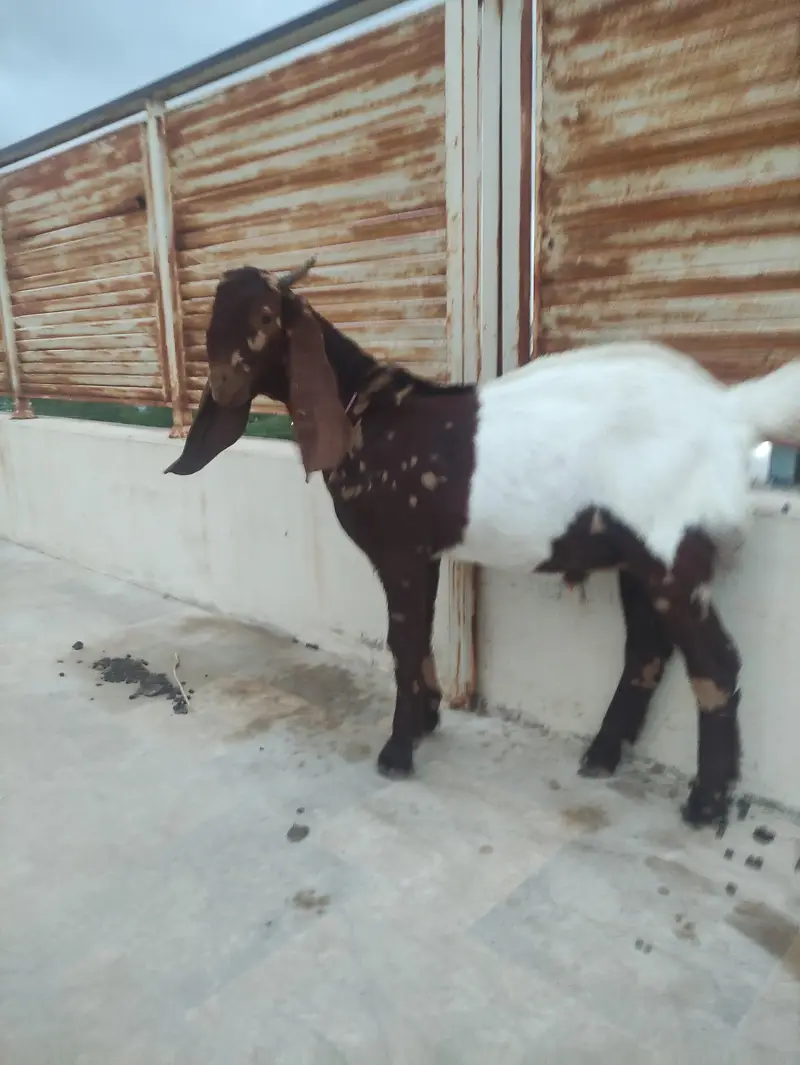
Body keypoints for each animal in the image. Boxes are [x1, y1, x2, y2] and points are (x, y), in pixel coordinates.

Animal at [166, 260, 800, 829]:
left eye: (266, 316)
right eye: (210, 320)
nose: (222, 385)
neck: (368, 412)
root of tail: (730, 410)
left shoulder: (400, 550)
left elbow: (403, 641)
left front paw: (398, 752)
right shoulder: (422, 554)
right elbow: (420, 635)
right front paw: (425, 719)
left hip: (672, 549)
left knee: (715, 663)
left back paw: (706, 805)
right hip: (639, 553)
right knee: (647, 649)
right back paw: (601, 756)